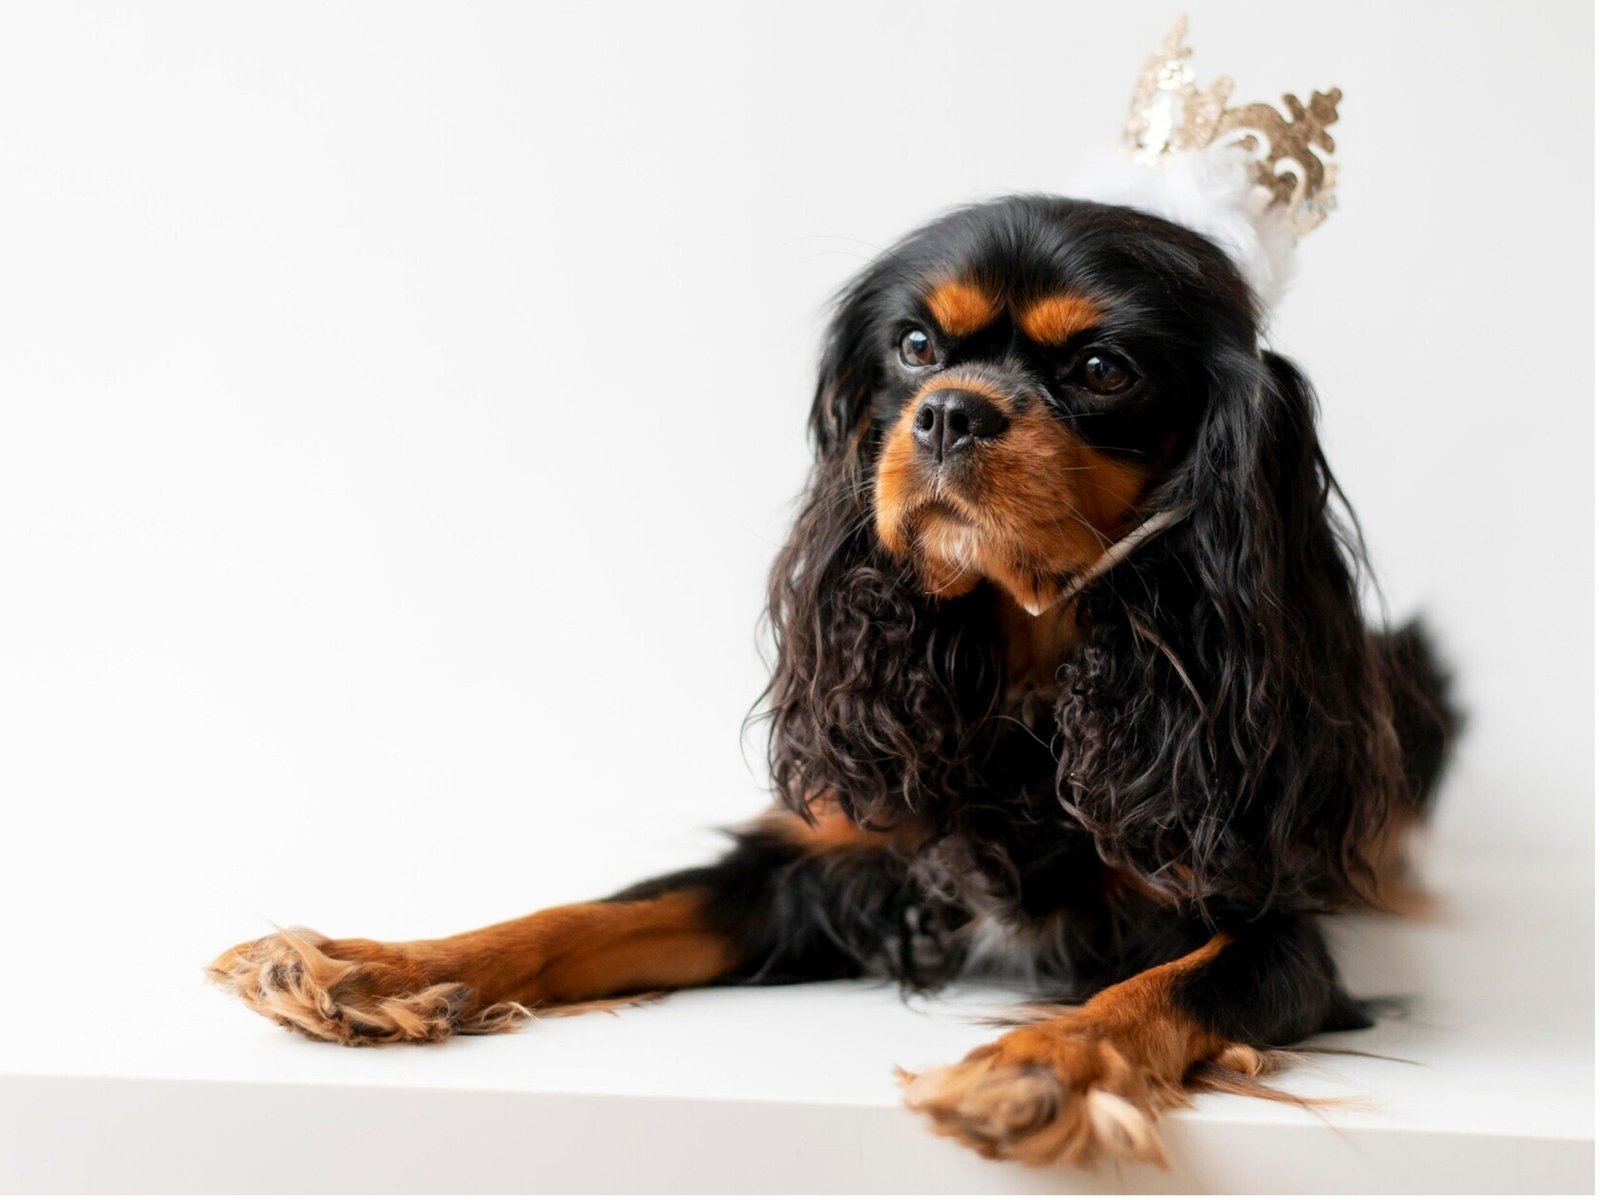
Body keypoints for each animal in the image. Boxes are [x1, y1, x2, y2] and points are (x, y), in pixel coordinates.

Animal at [206, 200, 1459, 1177]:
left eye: (1103, 370)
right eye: (913, 347)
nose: (950, 410)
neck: (1028, 677)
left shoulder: (1266, 928)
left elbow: (1156, 994)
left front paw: (1036, 1068)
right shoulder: (821, 862)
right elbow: (590, 916)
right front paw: (379, 967)